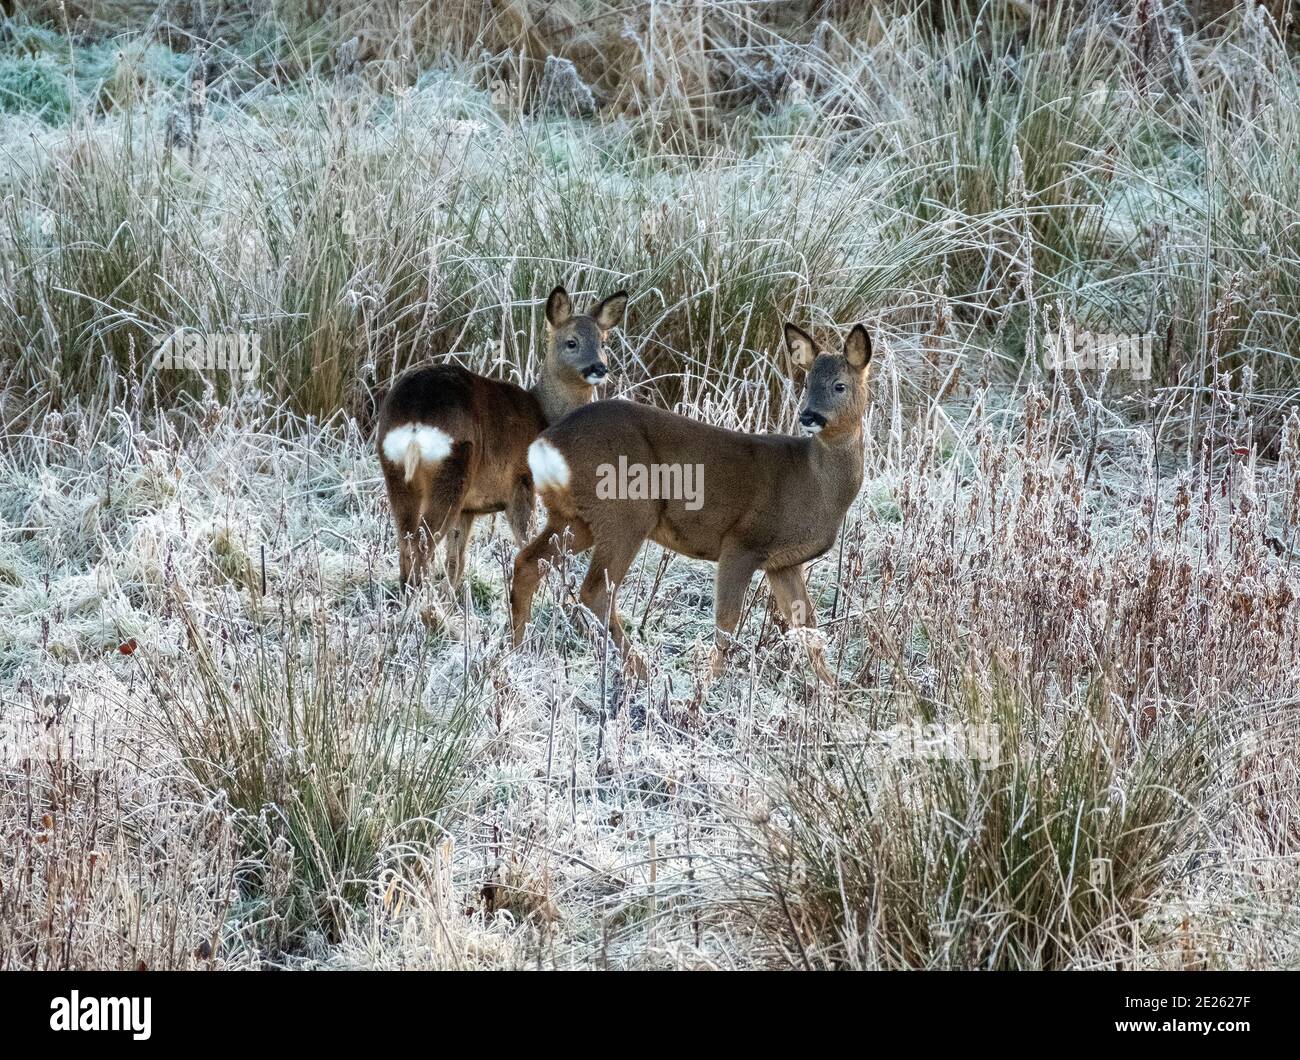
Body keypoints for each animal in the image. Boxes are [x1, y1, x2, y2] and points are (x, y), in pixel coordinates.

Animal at [377, 286, 628, 594]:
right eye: (572, 342)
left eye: (603, 342)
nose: (599, 368)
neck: (544, 415)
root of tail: (415, 417)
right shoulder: (521, 481)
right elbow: (526, 540)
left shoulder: (469, 508)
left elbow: (456, 561)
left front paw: (451, 598)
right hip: (453, 468)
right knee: (421, 544)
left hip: (396, 469)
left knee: (406, 541)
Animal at [510, 321, 872, 681]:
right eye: (807, 382)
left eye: (839, 386)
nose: (808, 415)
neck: (814, 485)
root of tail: (545, 445)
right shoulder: (743, 541)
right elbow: (727, 622)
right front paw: (712, 683)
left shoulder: (783, 562)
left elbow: (807, 626)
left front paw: (832, 690)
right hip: (626, 511)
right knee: (595, 590)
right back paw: (641, 668)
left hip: (574, 517)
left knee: (527, 562)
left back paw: (517, 649)